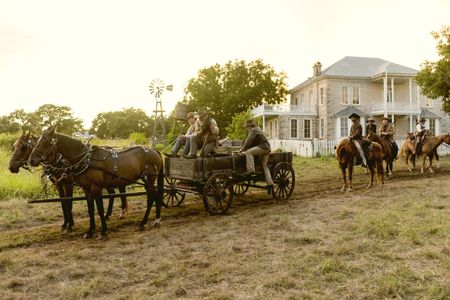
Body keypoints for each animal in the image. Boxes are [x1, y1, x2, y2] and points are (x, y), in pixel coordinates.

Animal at [28, 126, 163, 239]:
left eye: (45, 142)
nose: (31, 160)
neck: (86, 160)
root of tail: (153, 150)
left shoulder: (95, 188)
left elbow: (99, 209)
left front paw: (102, 232)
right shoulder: (86, 189)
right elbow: (90, 209)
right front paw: (90, 231)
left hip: (148, 180)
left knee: (151, 198)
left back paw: (144, 222)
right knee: (155, 195)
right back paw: (156, 219)